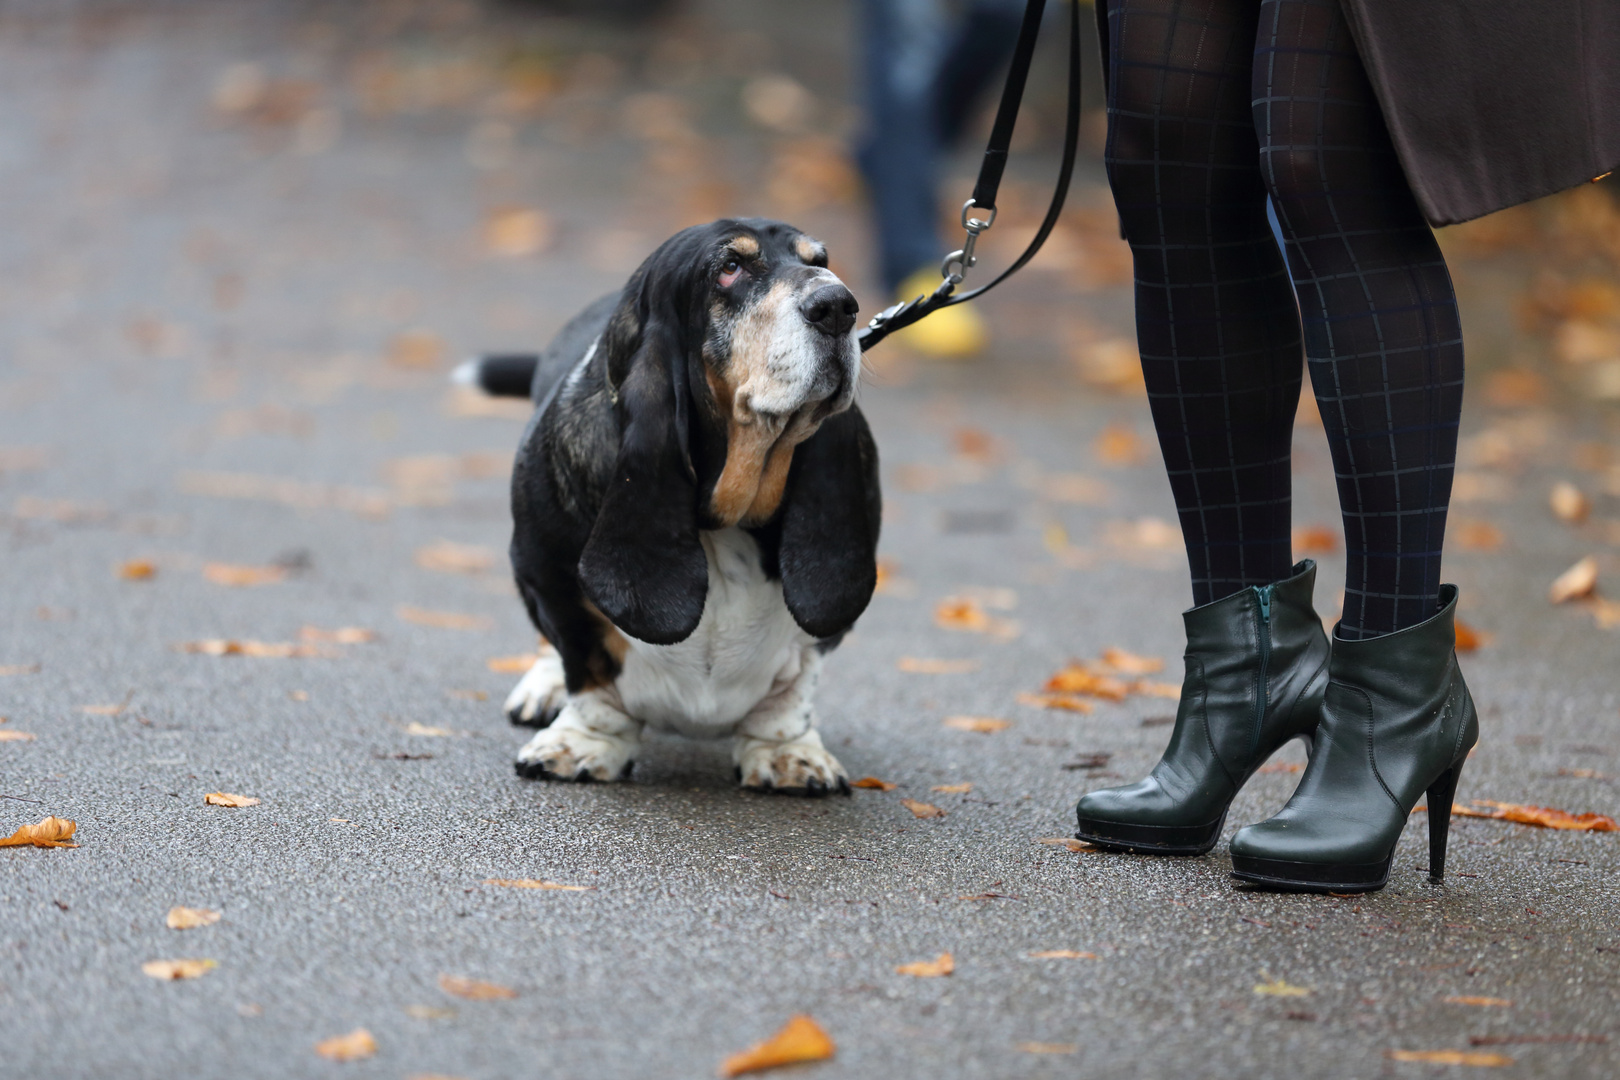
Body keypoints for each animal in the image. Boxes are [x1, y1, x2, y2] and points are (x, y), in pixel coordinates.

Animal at [456, 220, 881, 793]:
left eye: (820, 261)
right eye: (730, 269)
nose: (838, 305)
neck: (725, 521)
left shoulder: (822, 628)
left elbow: (798, 679)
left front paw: (787, 752)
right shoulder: (546, 575)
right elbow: (587, 667)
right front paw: (584, 743)